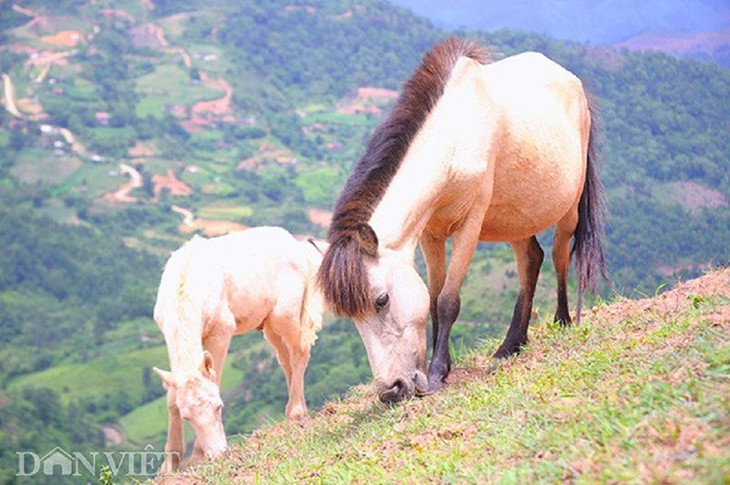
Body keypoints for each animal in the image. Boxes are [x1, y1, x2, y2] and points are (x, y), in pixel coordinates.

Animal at [152, 228, 326, 472]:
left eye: (219, 407)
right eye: (187, 417)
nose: (218, 455)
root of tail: (296, 245)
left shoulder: (222, 330)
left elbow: (214, 379)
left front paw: (196, 456)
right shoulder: (168, 334)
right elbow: (171, 396)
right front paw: (169, 465)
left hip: (285, 313)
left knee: (300, 349)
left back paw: (296, 413)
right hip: (268, 323)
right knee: (285, 358)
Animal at [316, 36, 604, 400]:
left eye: (381, 300)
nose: (391, 391)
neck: (454, 135)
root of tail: (572, 81)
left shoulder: (470, 226)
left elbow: (447, 301)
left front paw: (438, 374)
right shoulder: (430, 234)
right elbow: (433, 299)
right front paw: (442, 367)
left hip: (569, 208)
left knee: (559, 255)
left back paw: (564, 321)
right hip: (515, 219)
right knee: (531, 259)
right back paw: (512, 345)